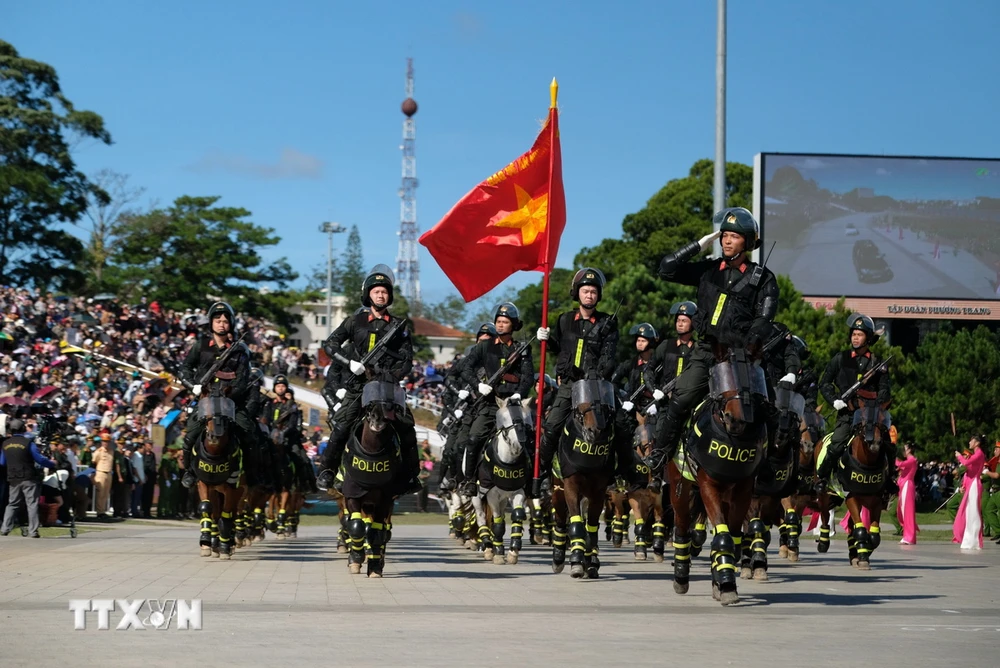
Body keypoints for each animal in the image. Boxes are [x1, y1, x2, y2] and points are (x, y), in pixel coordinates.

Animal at [193, 392, 246, 560]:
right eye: (205, 409)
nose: (213, 436)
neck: (214, 454)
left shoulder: (233, 488)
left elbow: (227, 516)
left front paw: (224, 547)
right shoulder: (203, 483)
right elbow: (207, 507)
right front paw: (206, 541)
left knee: (232, 513)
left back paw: (228, 542)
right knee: (216, 513)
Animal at [342, 380, 408, 580]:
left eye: (392, 405)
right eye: (370, 406)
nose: (378, 419)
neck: (371, 452)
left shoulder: (384, 500)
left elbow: (376, 532)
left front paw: (374, 567)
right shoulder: (352, 495)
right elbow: (356, 526)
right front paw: (356, 559)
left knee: (382, 531)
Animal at [552, 380, 620, 580]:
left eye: (604, 404)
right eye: (580, 404)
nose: (593, 432)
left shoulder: (598, 494)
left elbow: (591, 529)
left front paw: (591, 562)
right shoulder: (570, 489)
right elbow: (576, 526)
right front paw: (576, 562)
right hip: (558, 492)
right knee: (561, 521)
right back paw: (559, 558)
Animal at [668, 350, 768, 604]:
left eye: (754, 379)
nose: (736, 419)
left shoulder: (743, 490)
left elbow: (732, 538)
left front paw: (724, 583)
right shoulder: (708, 486)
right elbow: (723, 537)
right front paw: (726, 585)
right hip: (680, 489)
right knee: (681, 527)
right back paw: (681, 577)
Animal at [820, 400, 892, 572]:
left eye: (883, 419)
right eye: (864, 419)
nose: (875, 442)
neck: (867, 464)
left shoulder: (876, 501)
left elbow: (874, 535)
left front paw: (865, 551)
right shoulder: (851, 497)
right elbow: (861, 531)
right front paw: (863, 556)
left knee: (850, 526)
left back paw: (854, 553)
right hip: (826, 495)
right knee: (825, 515)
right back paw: (823, 542)